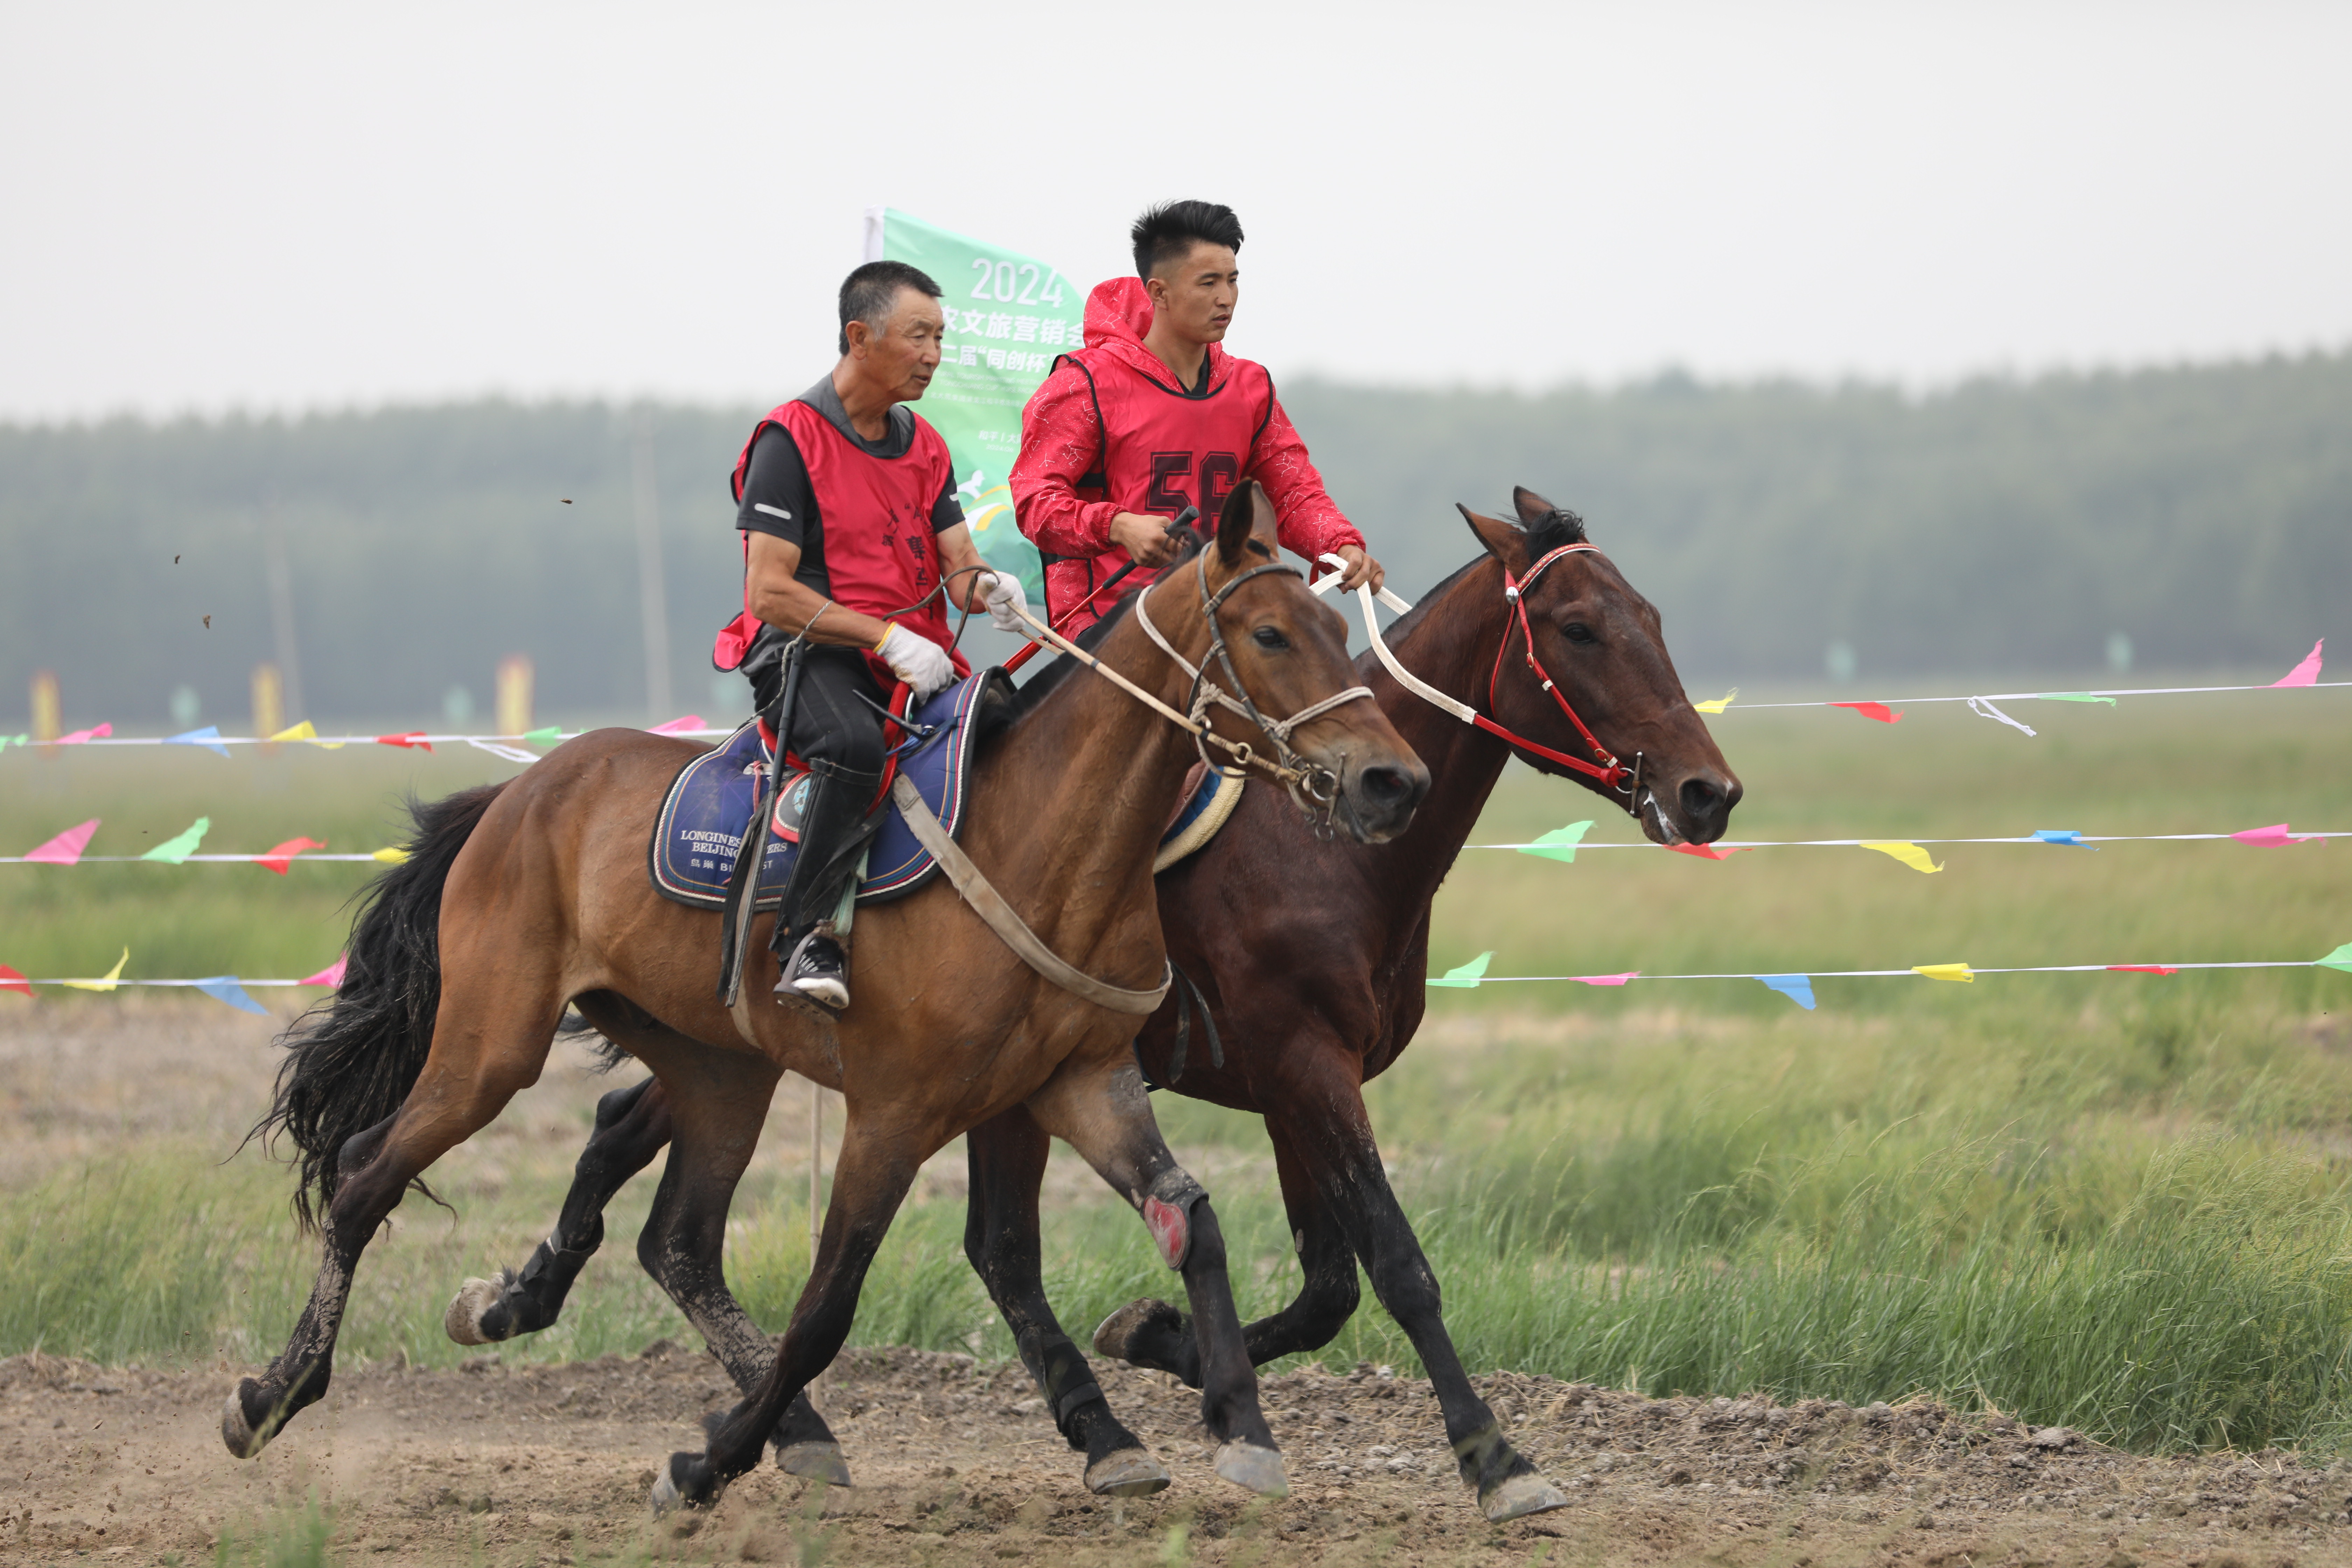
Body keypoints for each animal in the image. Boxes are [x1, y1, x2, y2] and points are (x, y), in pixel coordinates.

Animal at [229, 484, 1420, 1514]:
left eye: (1333, 617)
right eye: (1270, 634)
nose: (1390, 779)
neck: (1045, 838)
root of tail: (518, 792)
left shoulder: (1079, 1081)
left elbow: (1195, 1221)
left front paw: (1242, 1428)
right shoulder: (893, 1114)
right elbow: (827, 1306)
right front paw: (705, 1464)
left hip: (719, 1067)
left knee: (678, 1237)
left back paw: (776, 1419)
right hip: (491, 1044)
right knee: (363, 1174)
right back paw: (271, 1395)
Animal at [449, 486, 1740, 1523]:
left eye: (1656, 620)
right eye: (1579, 628)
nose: (1708, 792)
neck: (1325, 856)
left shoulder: (1284, 1085)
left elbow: (1326, 1284)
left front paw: (1171, 1350)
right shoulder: (1297, 1066)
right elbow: (1391, 1263)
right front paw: (1490, 1455)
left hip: (761, 1051)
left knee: (649, 1154)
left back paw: (537, 1305)